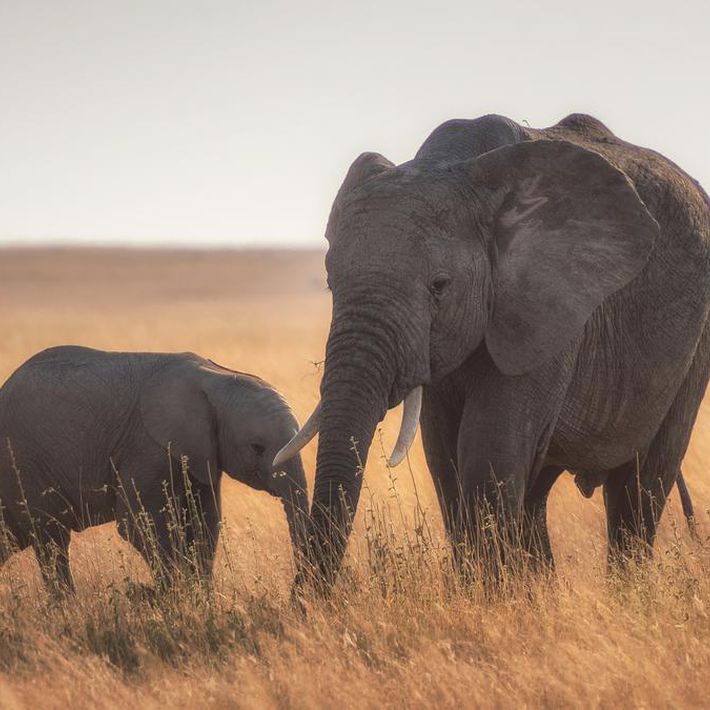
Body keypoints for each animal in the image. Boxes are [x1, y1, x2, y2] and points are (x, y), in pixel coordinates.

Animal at [0, 348, 312, 592]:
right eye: (257, 447)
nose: (297, 587)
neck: (214, 377)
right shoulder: (147, 446)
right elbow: (138, 523)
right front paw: (174, 598)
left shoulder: (200, 454)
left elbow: (205, 522)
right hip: (25, 464)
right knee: (51, 538)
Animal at [276, 114, 708, 588]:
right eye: (330, 283)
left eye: (439, 286)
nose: (303, 602)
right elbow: (445, 458)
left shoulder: (547, 308)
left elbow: (487, 454)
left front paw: (491, 596)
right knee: (537, 491)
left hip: (695, 345)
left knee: (641, 482)